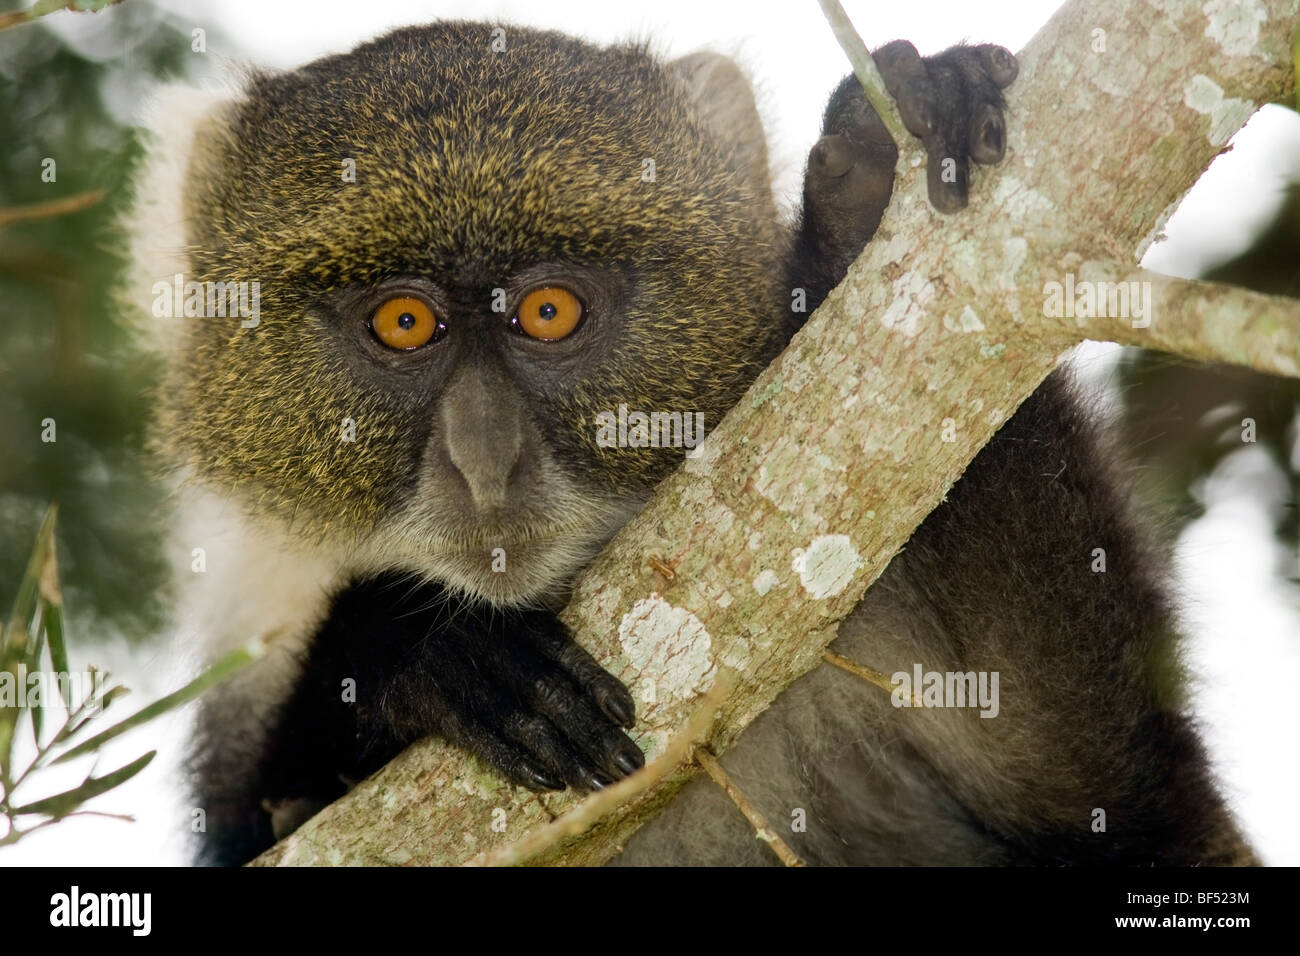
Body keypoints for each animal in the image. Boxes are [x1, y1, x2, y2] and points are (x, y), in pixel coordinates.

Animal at [124, 20, 1258, 868]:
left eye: (546, 311)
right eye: (404, 323)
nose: (485, 459)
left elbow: (1117, 801)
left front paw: (866, 194)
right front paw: (424, 652)